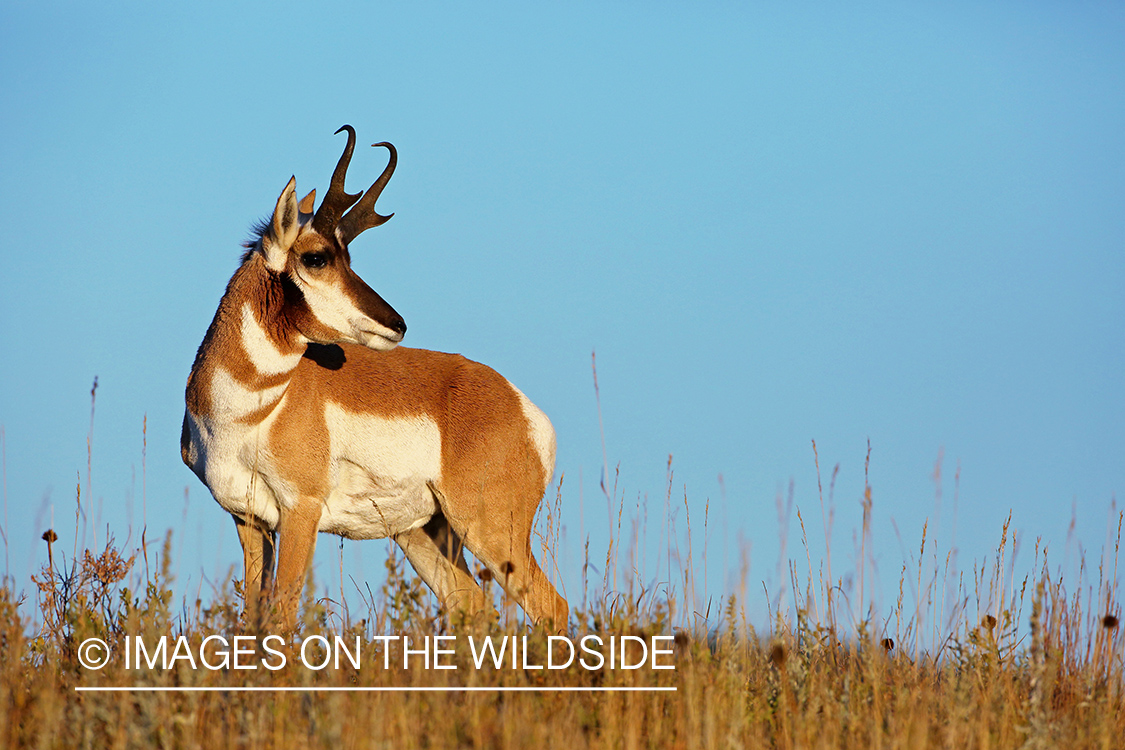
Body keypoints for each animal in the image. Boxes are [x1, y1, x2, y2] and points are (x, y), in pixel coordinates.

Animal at [185, 125, 571, 629]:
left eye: (347, 256)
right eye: (317, 257)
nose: (397, 323)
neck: (250, 411)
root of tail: (522, 406)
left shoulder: (301, 512)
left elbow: (283, 617)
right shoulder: (248, 520)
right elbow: (254, 620)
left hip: (488, 529)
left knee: (552, 606)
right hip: (423, 532)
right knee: (472, 605)